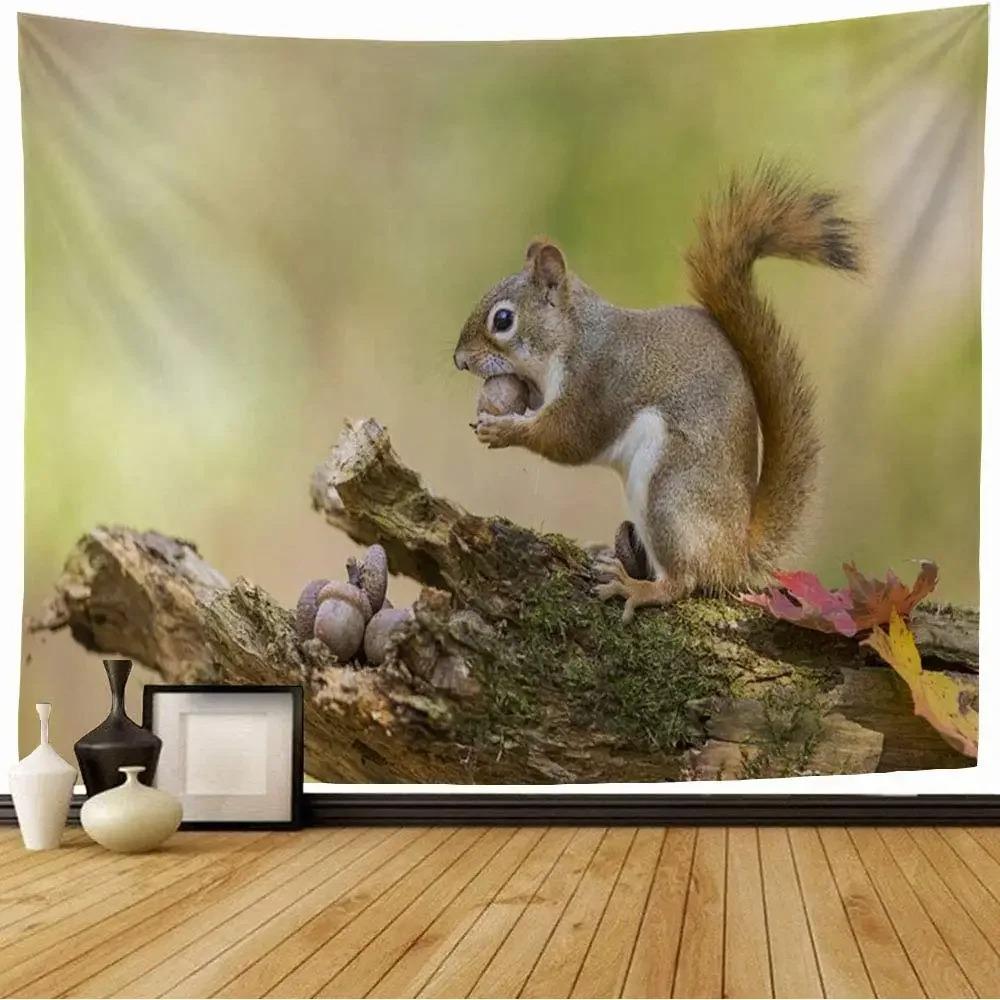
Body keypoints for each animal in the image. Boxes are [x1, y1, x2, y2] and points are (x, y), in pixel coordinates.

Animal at [453, 163, 861, 620]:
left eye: (503, 320)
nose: (459, 360)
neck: (574, 336)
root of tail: (736, 554)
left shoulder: (597, 381)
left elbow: (568, 438)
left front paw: (503, 431)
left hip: (670, 493)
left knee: (684, 581)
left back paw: (638, 588)